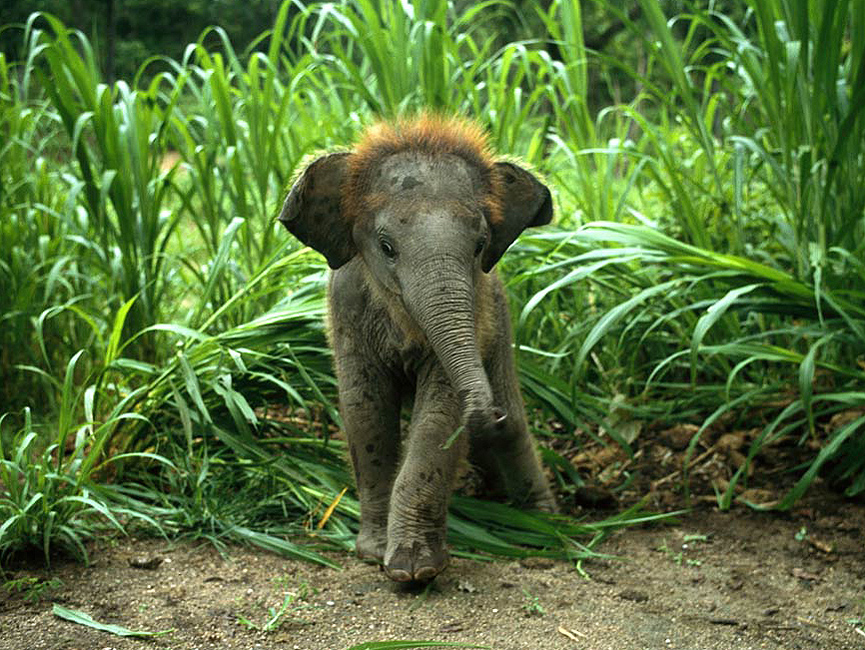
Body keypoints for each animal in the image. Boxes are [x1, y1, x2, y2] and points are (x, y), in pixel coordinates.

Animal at [278, 114, 556, 582]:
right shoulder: (346, 310)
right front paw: (374, 553)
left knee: (515, 428)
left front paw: (414, 571)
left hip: (501, 325)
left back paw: (544, 524)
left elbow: (438, 418)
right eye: (386, 247)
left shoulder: (477, 312)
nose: (489, 413)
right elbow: (366, 411)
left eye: (480, 245)